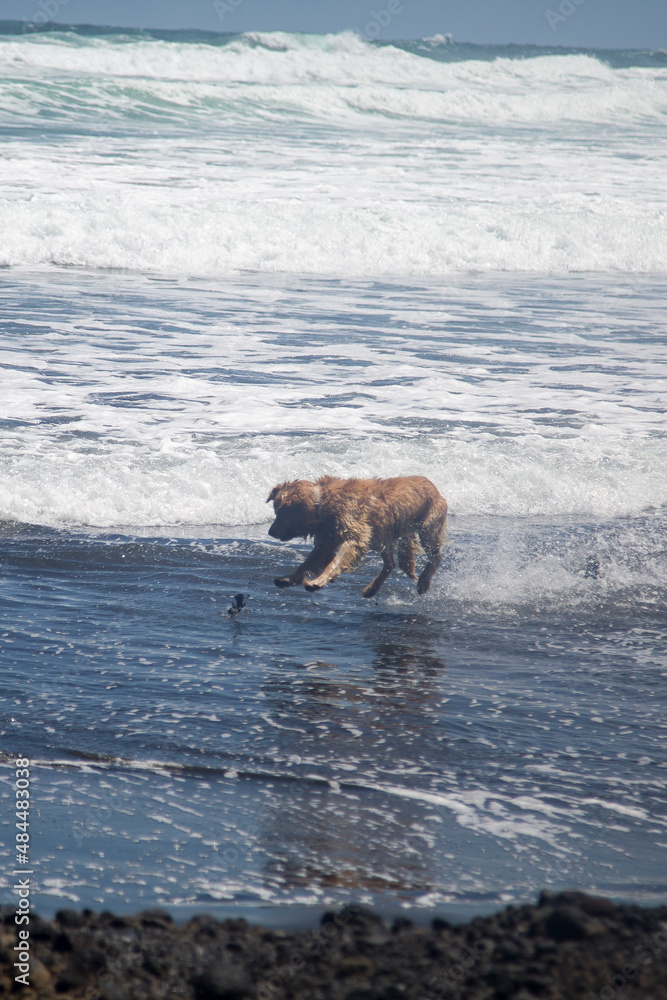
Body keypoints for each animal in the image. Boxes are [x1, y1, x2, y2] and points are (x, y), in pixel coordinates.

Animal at [266, 474, 448, 592]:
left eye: (279, 513)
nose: (270, 532)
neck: (324, 503)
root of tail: (433, 486)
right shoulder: (326, 540)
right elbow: (307, 562)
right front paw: (290, 578)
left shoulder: (354, 535)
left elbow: (336, 561)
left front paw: (319, 580)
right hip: (381, 536)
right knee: (390, 563)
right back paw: (372, 588)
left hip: (428, 528)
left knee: (435, 556)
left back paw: (424, 582)